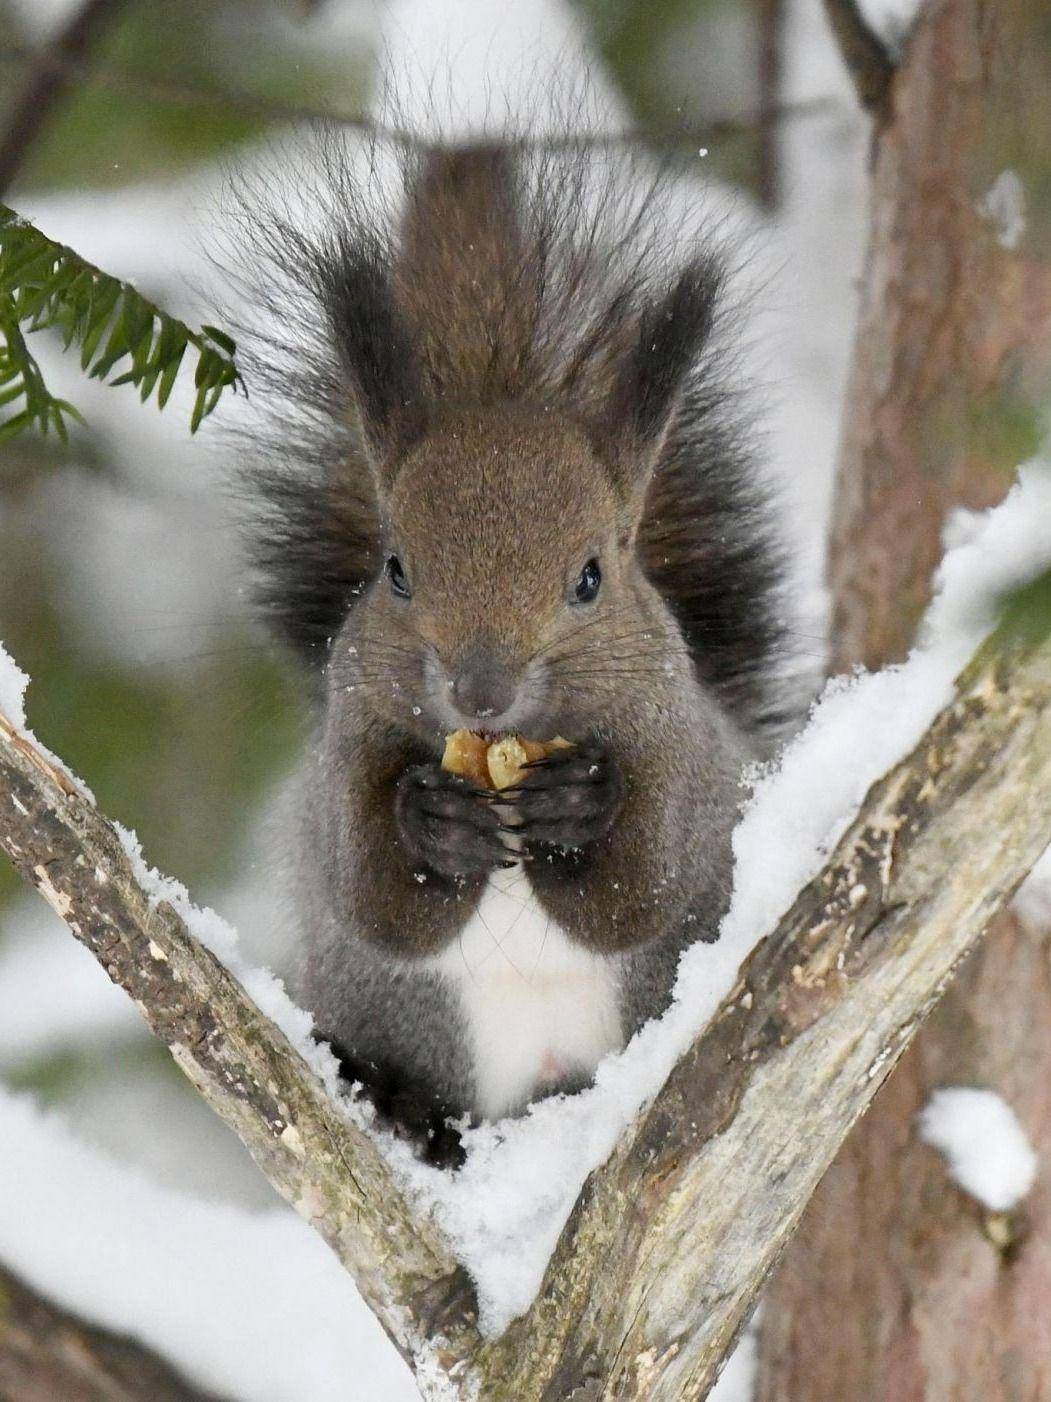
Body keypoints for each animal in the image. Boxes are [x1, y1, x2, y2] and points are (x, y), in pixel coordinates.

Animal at [238, 136, 795, 1166]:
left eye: (591, 577)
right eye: (396, 569)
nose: (479, 691)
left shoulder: (684, 754)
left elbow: (644, 889)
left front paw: (579, 803)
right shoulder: (349, 742)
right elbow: (372, 893)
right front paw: (430, 820)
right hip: (399, 1012)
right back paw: (400, 1100)